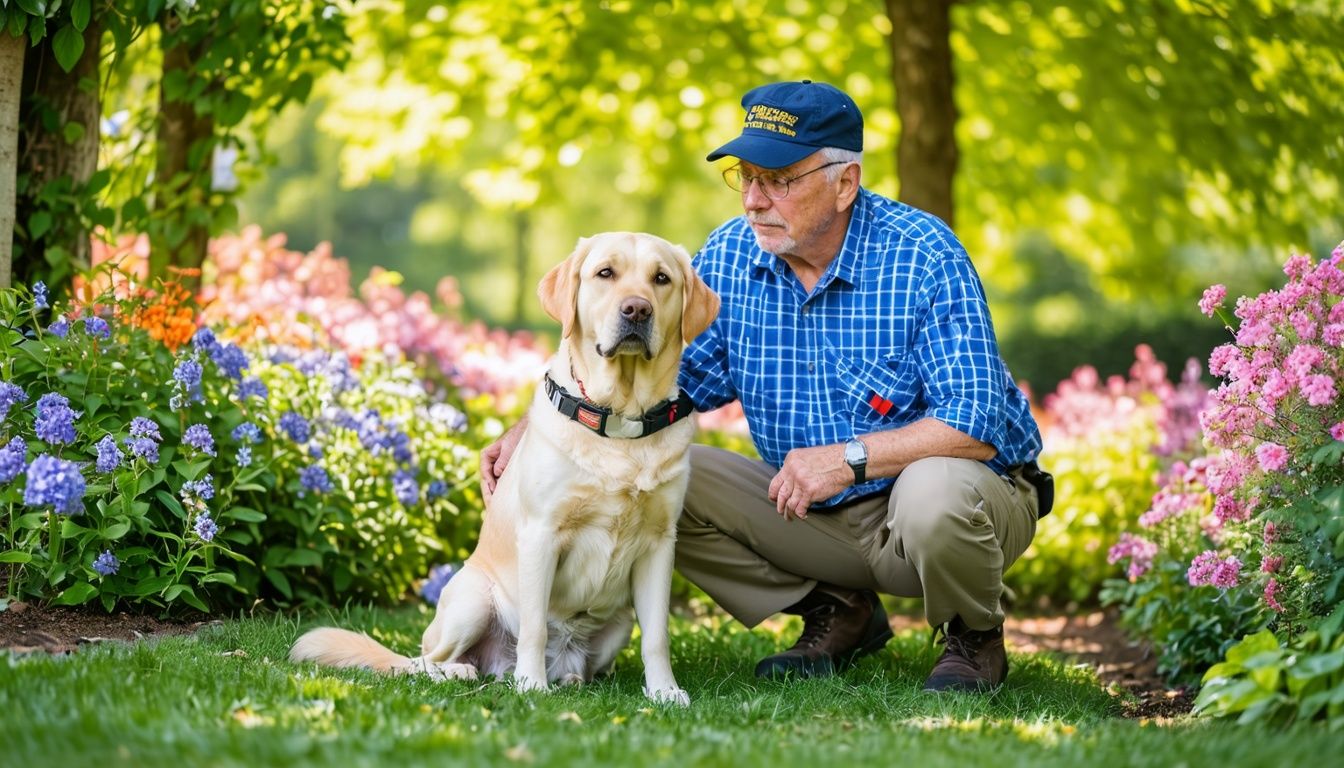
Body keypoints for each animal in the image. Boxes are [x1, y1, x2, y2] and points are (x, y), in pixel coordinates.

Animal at [290, 232, 720, 710]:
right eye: (605, 273)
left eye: (661, 279)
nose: (637, 309)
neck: (620, 421)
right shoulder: (541, 534)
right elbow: (533, 627)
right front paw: (532, 684)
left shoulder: (659, 544)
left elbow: (658, 636)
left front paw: (664, 691)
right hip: (473, 600)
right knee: (423, 663)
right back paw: (471, 671)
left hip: (619, 621)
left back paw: (568, 679)